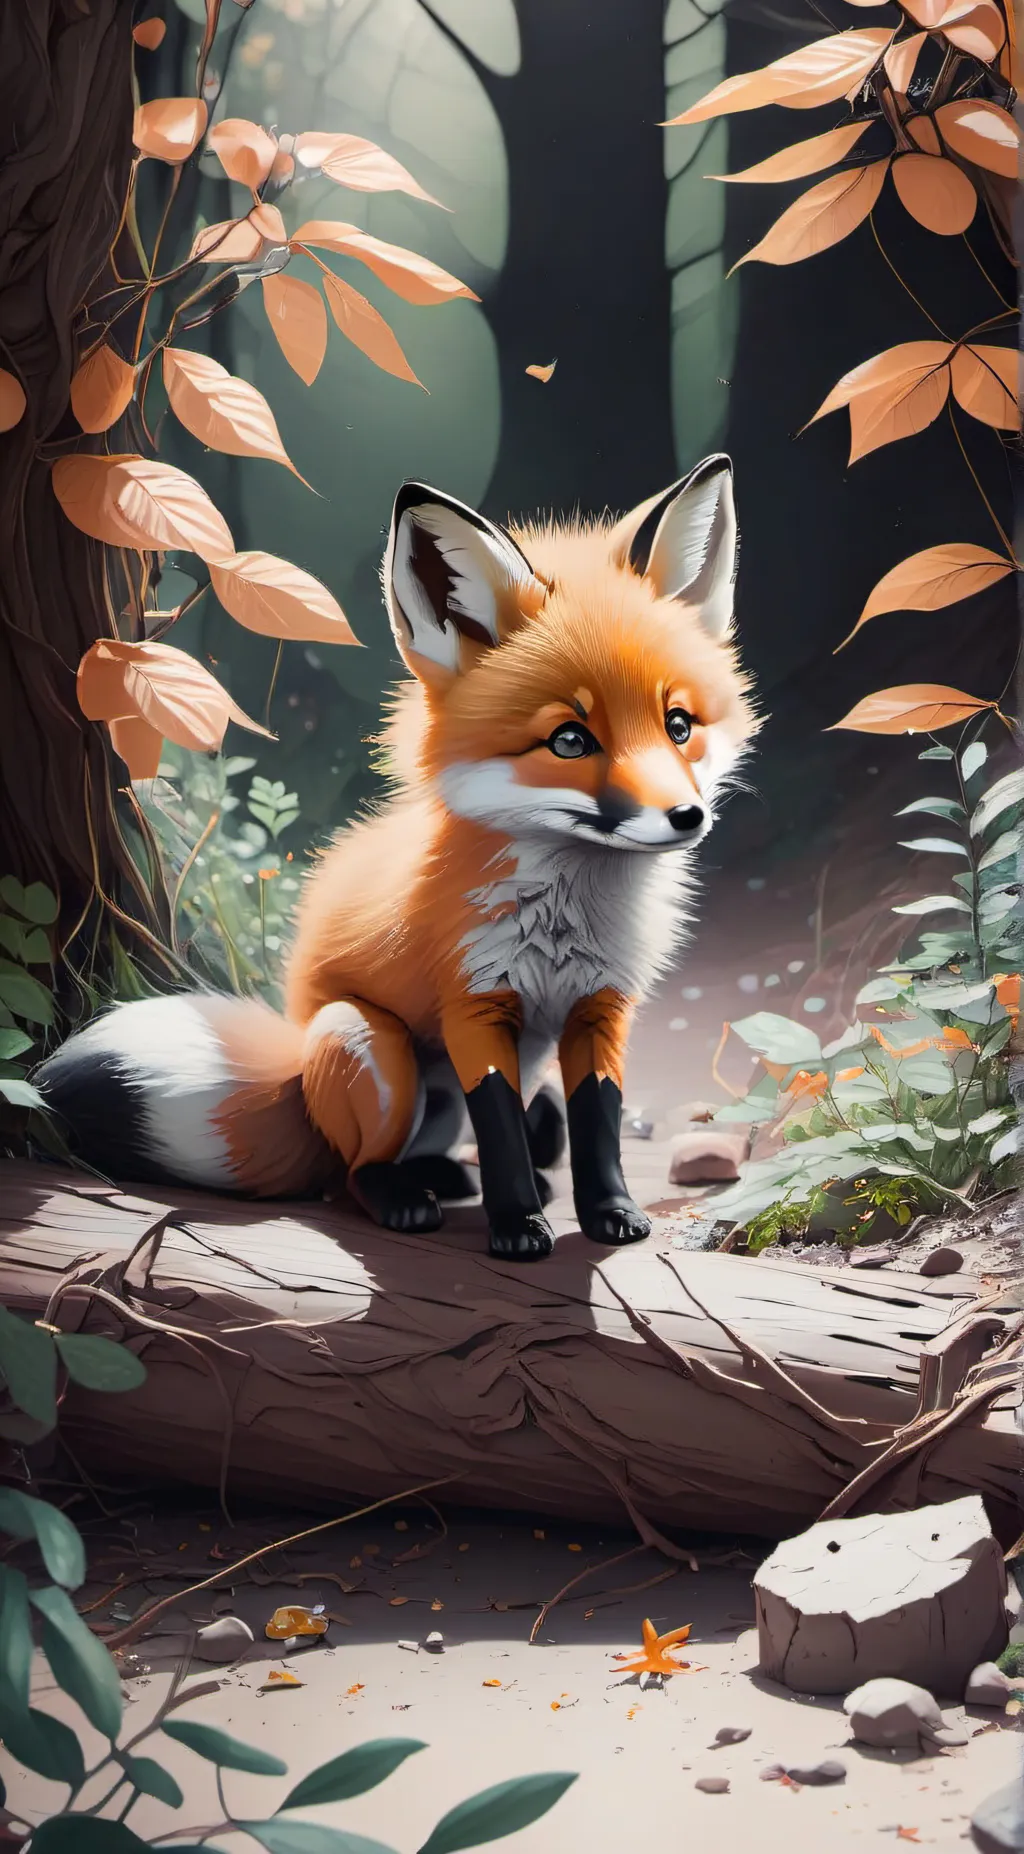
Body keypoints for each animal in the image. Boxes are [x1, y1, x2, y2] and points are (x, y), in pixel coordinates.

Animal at [37, 455, 758, 1262]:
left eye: (679, 726)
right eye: (570, 740)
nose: (687, 817)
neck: (568, 919)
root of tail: (297, 1075)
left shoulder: (600, 1010)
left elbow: (597, 1125)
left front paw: (608, 1213)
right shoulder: (476, 1006)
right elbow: (502, 1130)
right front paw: (517, 1227)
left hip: (430, 1094)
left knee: (455, 1146)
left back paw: (451, 1178)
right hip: (375, 1049)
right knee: (350, 1175)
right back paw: (405, 1199)